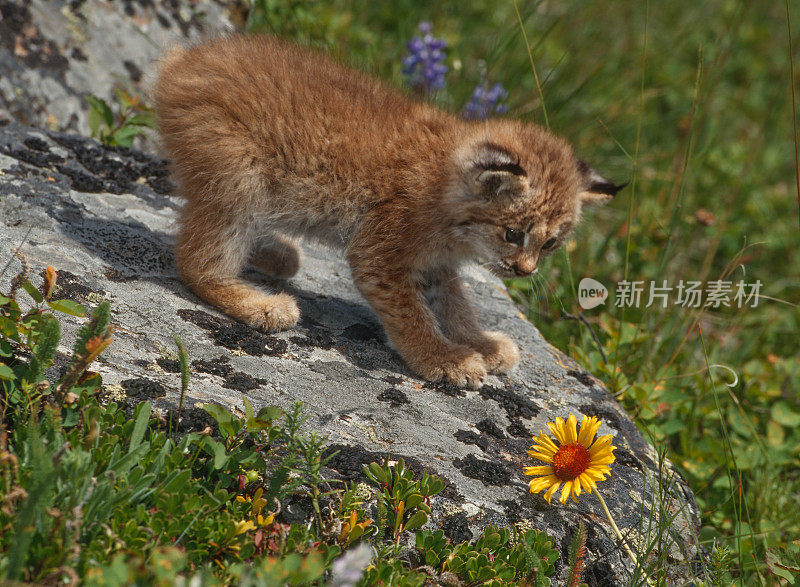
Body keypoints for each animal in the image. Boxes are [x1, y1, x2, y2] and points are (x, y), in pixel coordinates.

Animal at [153, 34, 620, 388]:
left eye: (551, 244)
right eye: (513, 234)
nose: (525, 272)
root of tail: (182, 59)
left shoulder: (435, 262)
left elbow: (455, 304)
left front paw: (480, 343)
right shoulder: (380, 254)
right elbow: (412, 314)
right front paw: (445, 359)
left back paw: (273, 253)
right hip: (240, 174)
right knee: (194, 260)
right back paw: (258, 305)